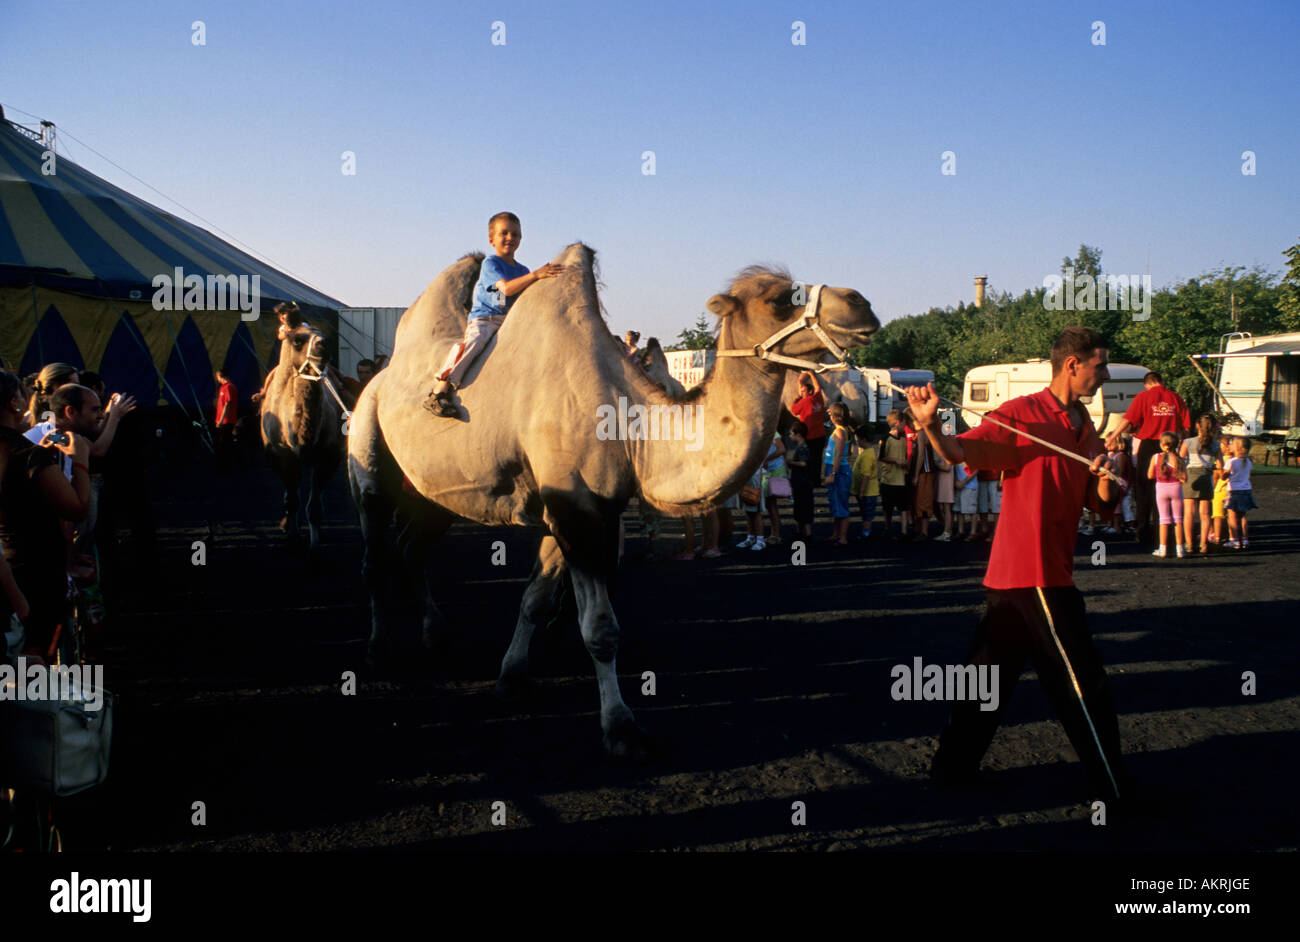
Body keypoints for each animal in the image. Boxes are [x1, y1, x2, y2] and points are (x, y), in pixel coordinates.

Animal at [261, 320, 351, 548]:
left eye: (326, 335)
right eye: (297, 340)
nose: (324, 345)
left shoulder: (329, 455)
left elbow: (315, 504)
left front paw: (315, 541)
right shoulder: (280, 454)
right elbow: (292, 499)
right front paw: (292, 535)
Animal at [345, 244, 878, 758]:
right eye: (779, 299)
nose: (861, 303)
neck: (629, 427)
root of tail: (378, 380)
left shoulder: (573, 508)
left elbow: (535, 599)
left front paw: (511, 678)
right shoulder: (573, 509)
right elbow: (600, 629)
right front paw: (622, 729)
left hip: (436, 492)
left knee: (412, 546)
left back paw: (436, 636)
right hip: (368, 447)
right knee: (373, 551)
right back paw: (376, 649)